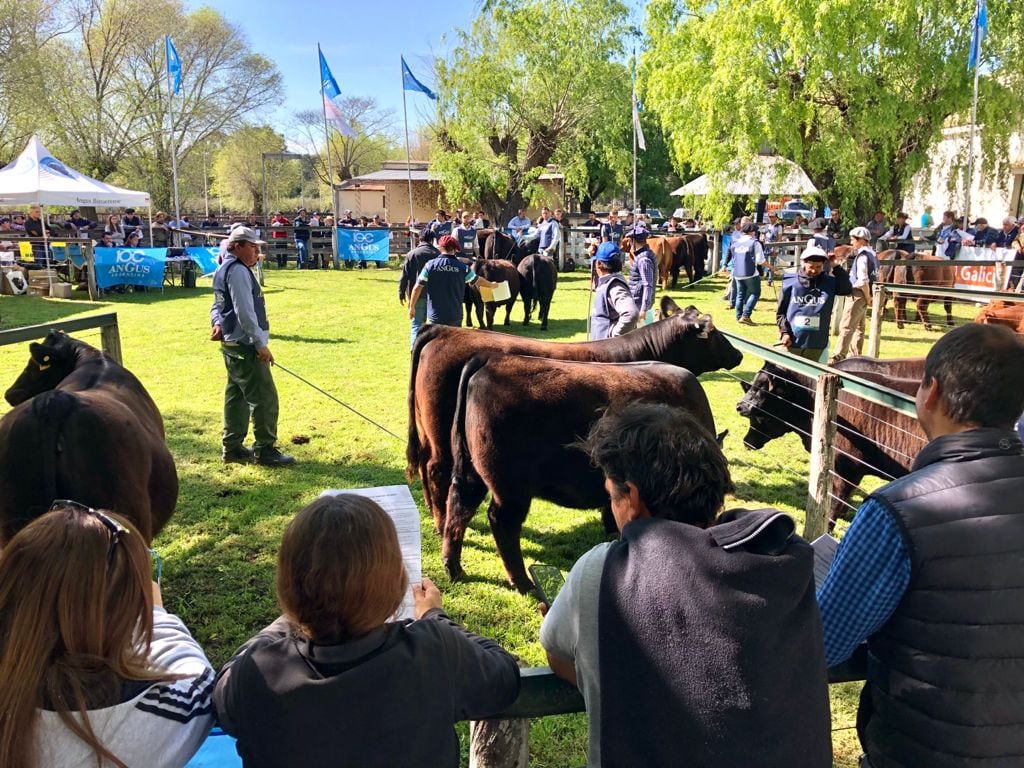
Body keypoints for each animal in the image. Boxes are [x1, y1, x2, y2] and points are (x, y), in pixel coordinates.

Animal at [409, 309, 745, 536]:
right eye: (714, 333)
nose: (739, 354)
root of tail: (442, 330)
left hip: (429, 431)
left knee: (426, 465)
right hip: (444, 437)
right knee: (438, 470)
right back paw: (439, 522)